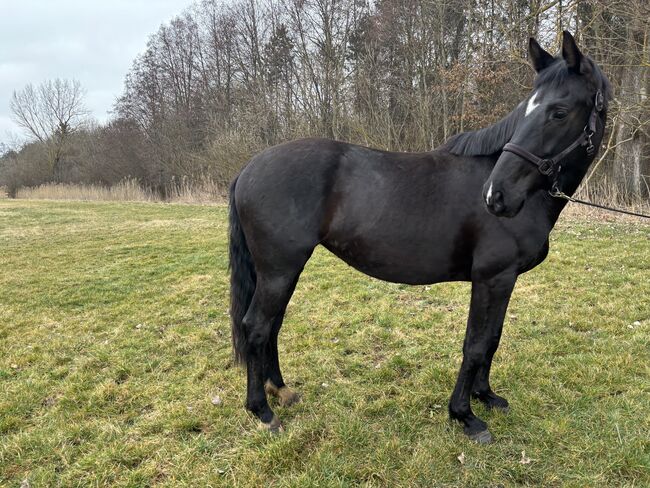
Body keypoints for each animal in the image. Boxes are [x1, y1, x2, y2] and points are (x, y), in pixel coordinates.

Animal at [230, 30, 612, 442]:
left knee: (272, 325)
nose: (496, 196)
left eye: (559, 111)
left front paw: (487, 397)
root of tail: (249, 167)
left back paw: (280, 390)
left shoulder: (504, 281)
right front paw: (465, 415)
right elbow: (476, 344)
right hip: (279, 270)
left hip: (282, 272)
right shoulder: (492, 278)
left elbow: (493, 339)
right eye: (529, 108)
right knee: (257, 327)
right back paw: (262, 410)